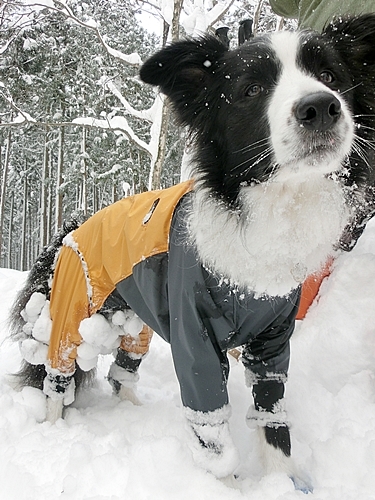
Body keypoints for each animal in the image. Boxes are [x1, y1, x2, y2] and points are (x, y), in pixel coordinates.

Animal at [8, 14, 375, 484]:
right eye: (252, 89)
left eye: (330, 75)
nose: (321, 107)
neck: (271, 210)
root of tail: (73, 225)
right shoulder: (194, 339)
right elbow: (211, 428)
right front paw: (223, 484)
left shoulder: (273, 341)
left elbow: (272, 417)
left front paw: (282, 481)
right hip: (70, 314)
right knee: (58, 376)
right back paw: (56, 428)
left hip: (136, 323)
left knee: (120, 374)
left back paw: (135, 412)